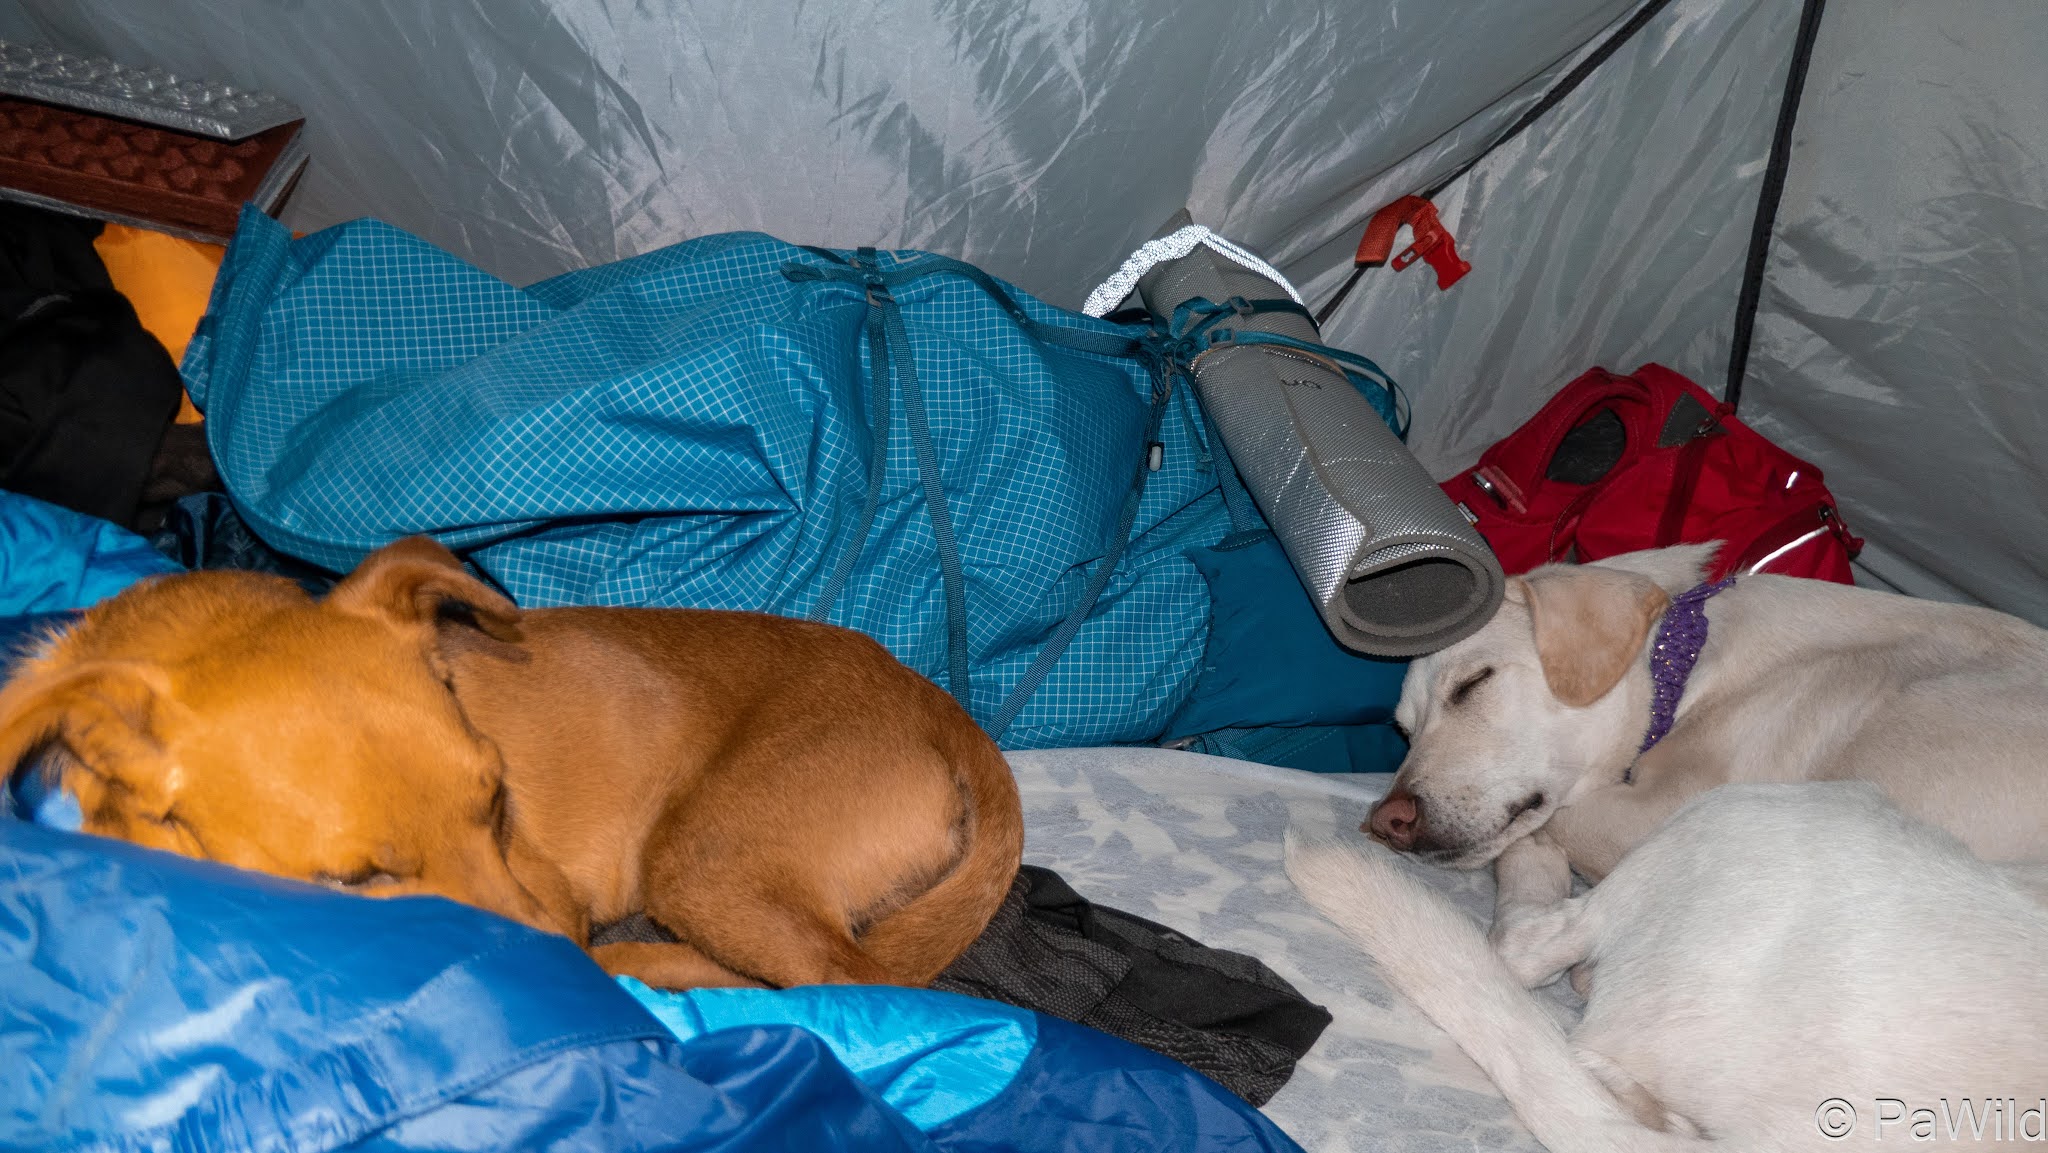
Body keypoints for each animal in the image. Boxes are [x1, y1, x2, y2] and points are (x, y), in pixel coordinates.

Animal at [0, 536, 1024, 987]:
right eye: (359, 880)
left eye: (498, 802)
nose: (564, 963)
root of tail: (948, 715)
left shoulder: (554, 888)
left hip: (704, 860)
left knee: (853, 987)